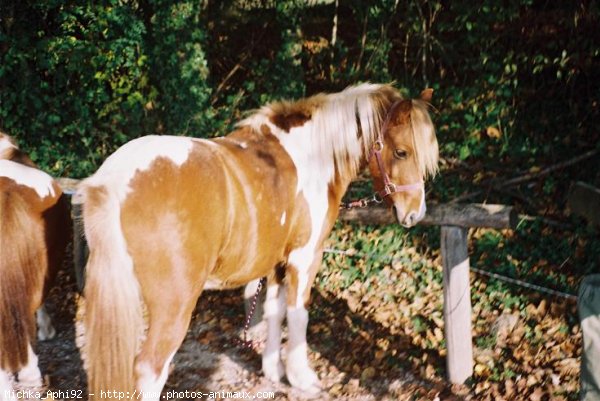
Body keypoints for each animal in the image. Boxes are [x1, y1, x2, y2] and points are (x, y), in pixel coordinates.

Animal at [77, 83, 438, 398]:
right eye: (402, 152)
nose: (415, 213)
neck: (309, 156)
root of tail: (114, 181)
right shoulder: (305, 258)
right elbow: (298, 313)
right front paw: (301, 376)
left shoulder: (277, 263)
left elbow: (273, 312)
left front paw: (273, 369)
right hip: (174, 305)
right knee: (151, 369)